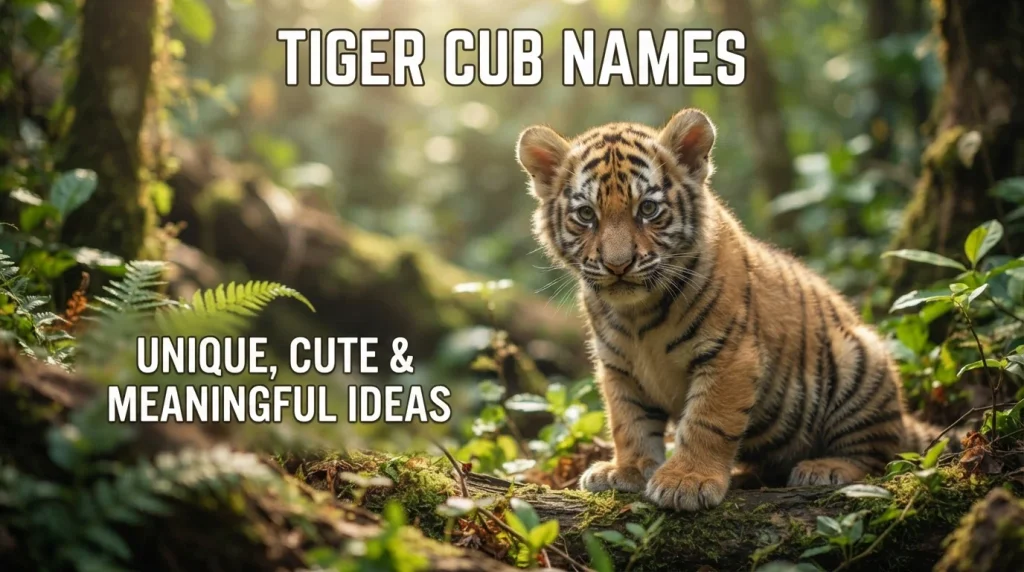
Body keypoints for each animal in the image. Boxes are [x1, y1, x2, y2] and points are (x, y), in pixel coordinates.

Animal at [515, 108, 951, 511]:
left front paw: (686, 481)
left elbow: (708, 421)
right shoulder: (618, 366)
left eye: (649, 210)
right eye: (586, 214)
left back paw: (826, 467)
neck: (637, 313)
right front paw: (629, 469)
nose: (617, 264)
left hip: (859, 357)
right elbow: (628, 420)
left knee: (876, 453)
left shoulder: (728, 355)